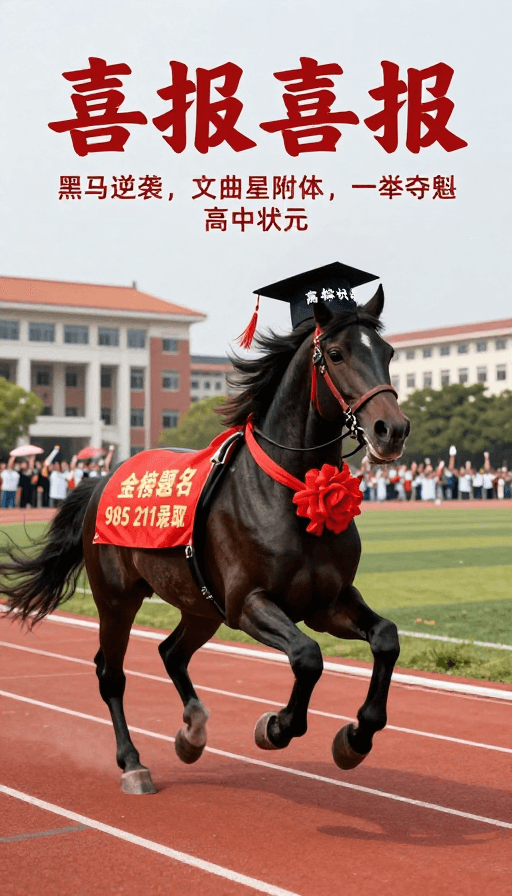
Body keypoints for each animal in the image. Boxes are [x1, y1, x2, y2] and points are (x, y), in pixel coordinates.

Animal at [1, 286, 409, 794]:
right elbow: (307, 656)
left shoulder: (327, 601)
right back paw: (132, 762)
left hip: (199, 604)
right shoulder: (247, 601)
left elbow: (385, 638)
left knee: (171, 653)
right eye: (336, 354)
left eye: (387, 353)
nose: (391, 430)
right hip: (117, 599)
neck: (292, 493)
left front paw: (357, 735)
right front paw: (277, 726)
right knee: (111, 674)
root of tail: (101, 480)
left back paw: (191, 732)